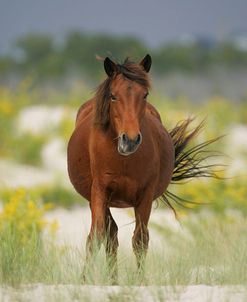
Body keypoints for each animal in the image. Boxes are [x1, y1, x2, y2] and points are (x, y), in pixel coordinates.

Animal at [67, 54, 216, 280]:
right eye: (113, 96)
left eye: (144, 95)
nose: (130, 140)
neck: (123, 160)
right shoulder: (100, 191)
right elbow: (96, 236)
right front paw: (84, 280)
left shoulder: (145, 195)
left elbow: (140, 239)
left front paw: (140, 281)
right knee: (110, 235)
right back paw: (112, 280)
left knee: (118, 235)